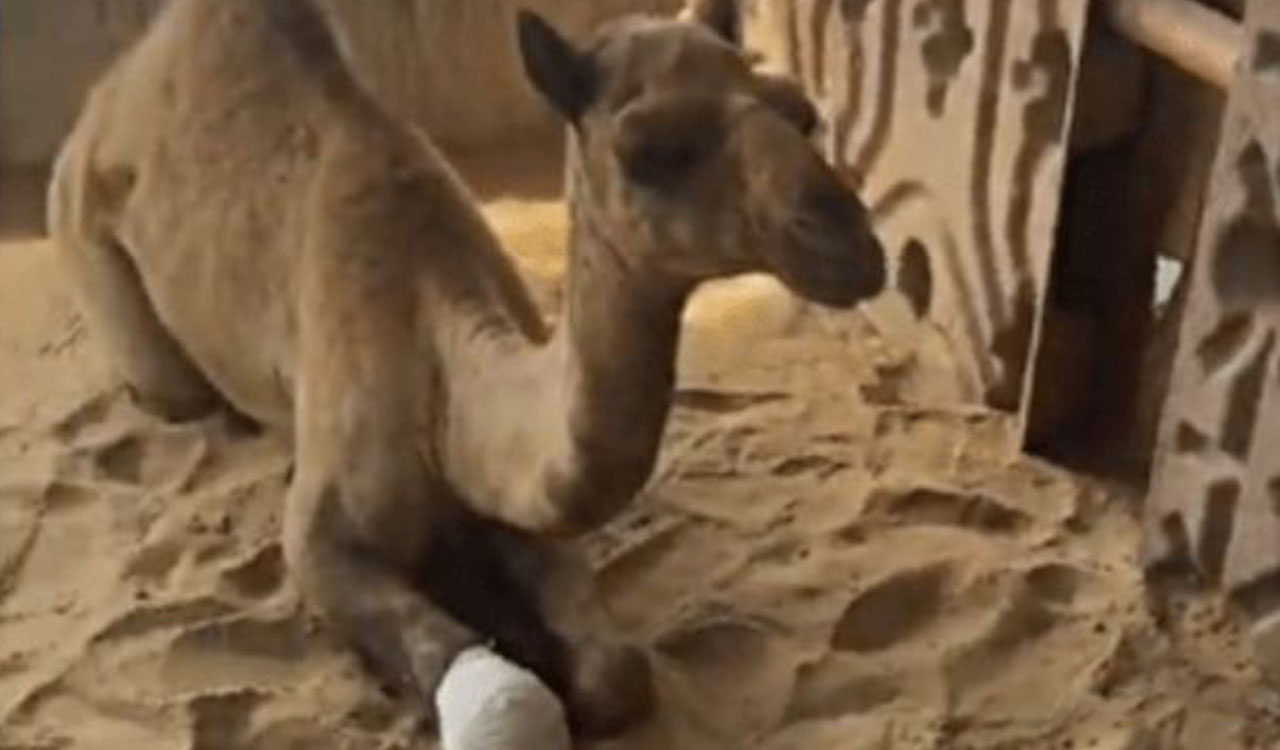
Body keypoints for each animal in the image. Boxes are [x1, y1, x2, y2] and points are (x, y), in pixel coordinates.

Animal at [47, 0, 886, 736]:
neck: (439, 381)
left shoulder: (526, 507)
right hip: (90, 243)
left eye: (800, 111)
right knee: (175, 389)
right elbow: (476, 668)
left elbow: (616, 671)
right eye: (647, 151)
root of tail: (107, 97)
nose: (848, 241)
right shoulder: (321, 541)